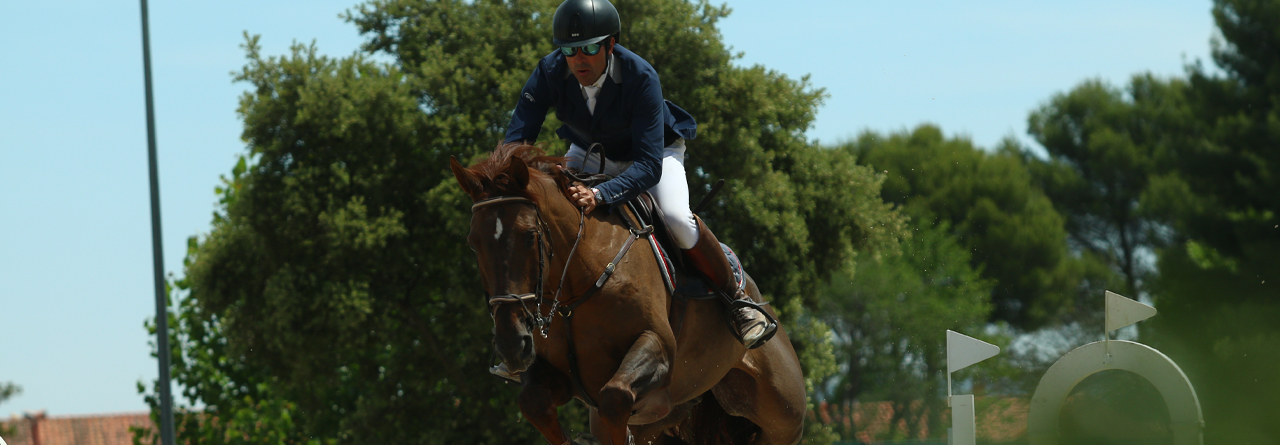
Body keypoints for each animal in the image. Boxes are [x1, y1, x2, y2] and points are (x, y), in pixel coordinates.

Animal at [453, 144, 798, 442]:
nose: (511, 345)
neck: (574, 289)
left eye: (529, 236)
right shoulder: (557, 375)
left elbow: (616, 396)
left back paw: (748, 318)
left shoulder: (657, 347)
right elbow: (534, 401)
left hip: (782, 416)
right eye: (473, 243)